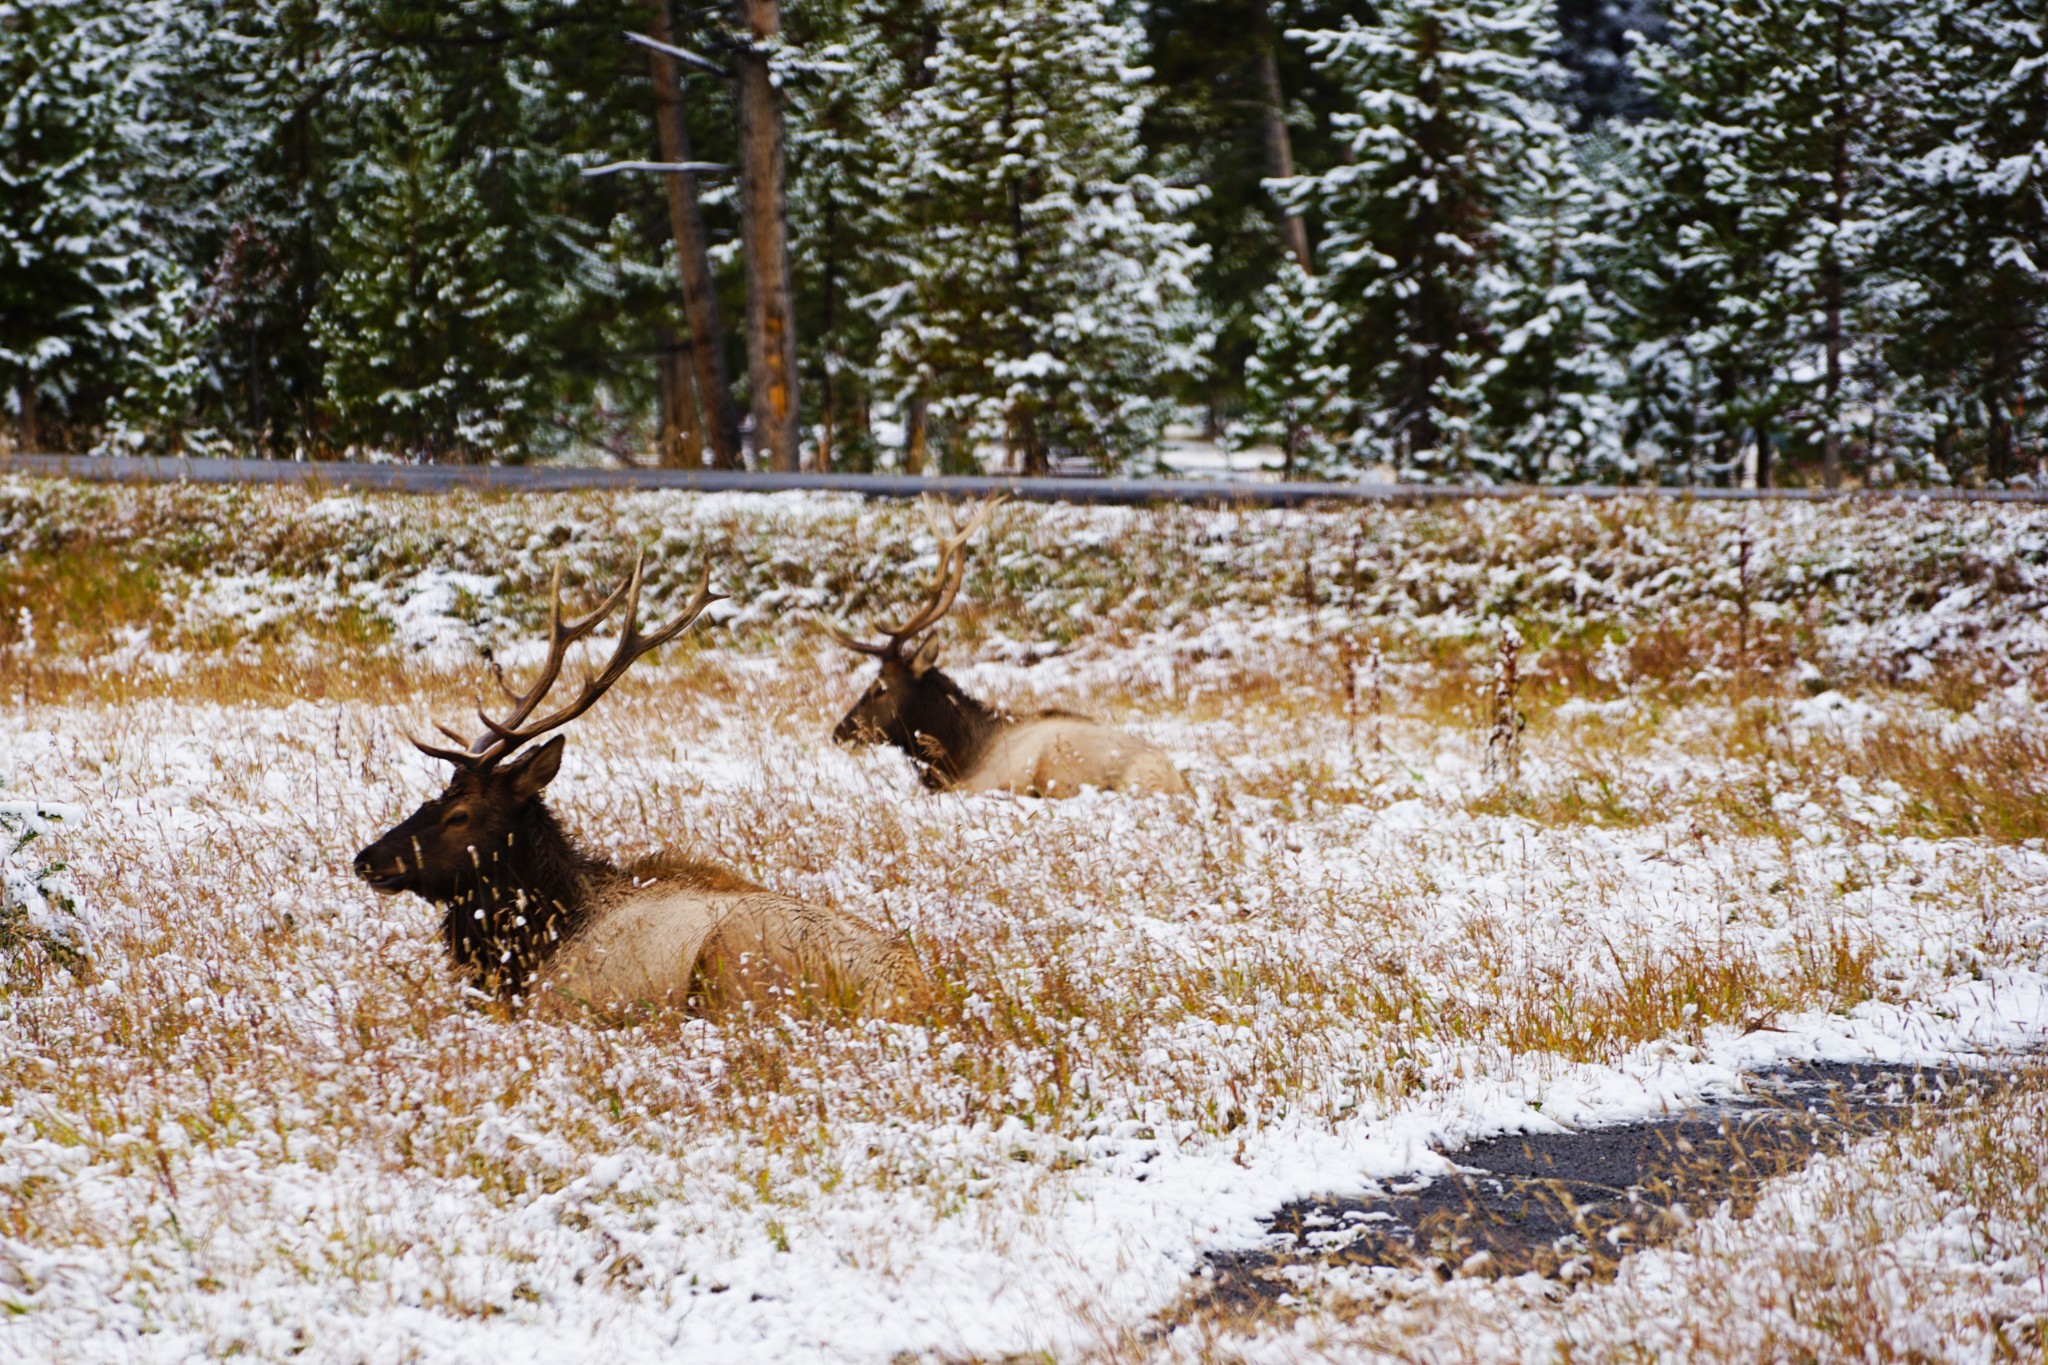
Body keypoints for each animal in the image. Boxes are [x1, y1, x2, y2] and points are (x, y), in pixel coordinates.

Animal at [356, 556, 917, 1015]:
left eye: (459, 815)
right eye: (430, 799)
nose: (366, 858)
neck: (538, 938)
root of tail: (912, 987)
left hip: (731, 959)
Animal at [827, 501, 1196, 802]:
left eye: (880, 688)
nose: (839, 731)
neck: (957, 755)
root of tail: (1172, 782)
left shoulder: (969, 784)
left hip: (1058, 767)